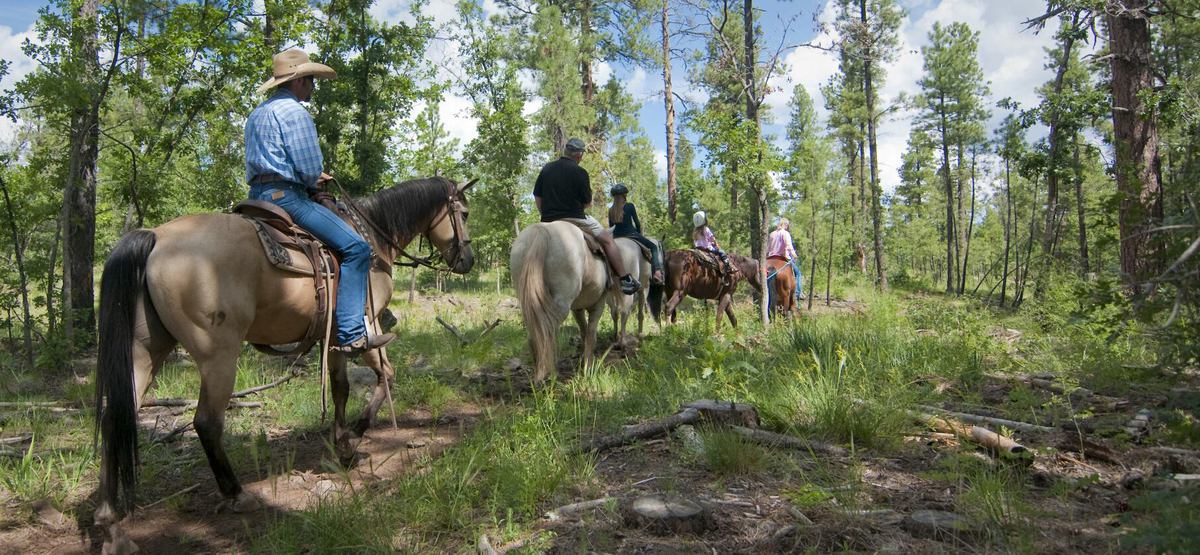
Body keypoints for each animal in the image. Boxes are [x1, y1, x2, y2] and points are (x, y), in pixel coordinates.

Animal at [92, 177, 472, 555]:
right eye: (465, 213)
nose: (468, 260)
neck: (372, 238)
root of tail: (156, 237)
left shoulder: (333, 337)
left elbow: (340, 388)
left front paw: (341, 445)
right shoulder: (367, 326)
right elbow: (385, 376)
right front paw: (353, 438)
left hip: (146, 352)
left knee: (114, 419)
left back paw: (110, 526)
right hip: (218, 356)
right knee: (206, 422)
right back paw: (237, 494)